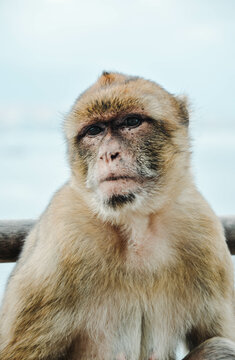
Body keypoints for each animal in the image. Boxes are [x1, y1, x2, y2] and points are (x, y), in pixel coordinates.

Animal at [0, 71, 235, 360]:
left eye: (131, 122)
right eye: (94, 131)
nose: (108, 154)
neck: (135, 224)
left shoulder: (203, 229)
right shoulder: (58, 245)